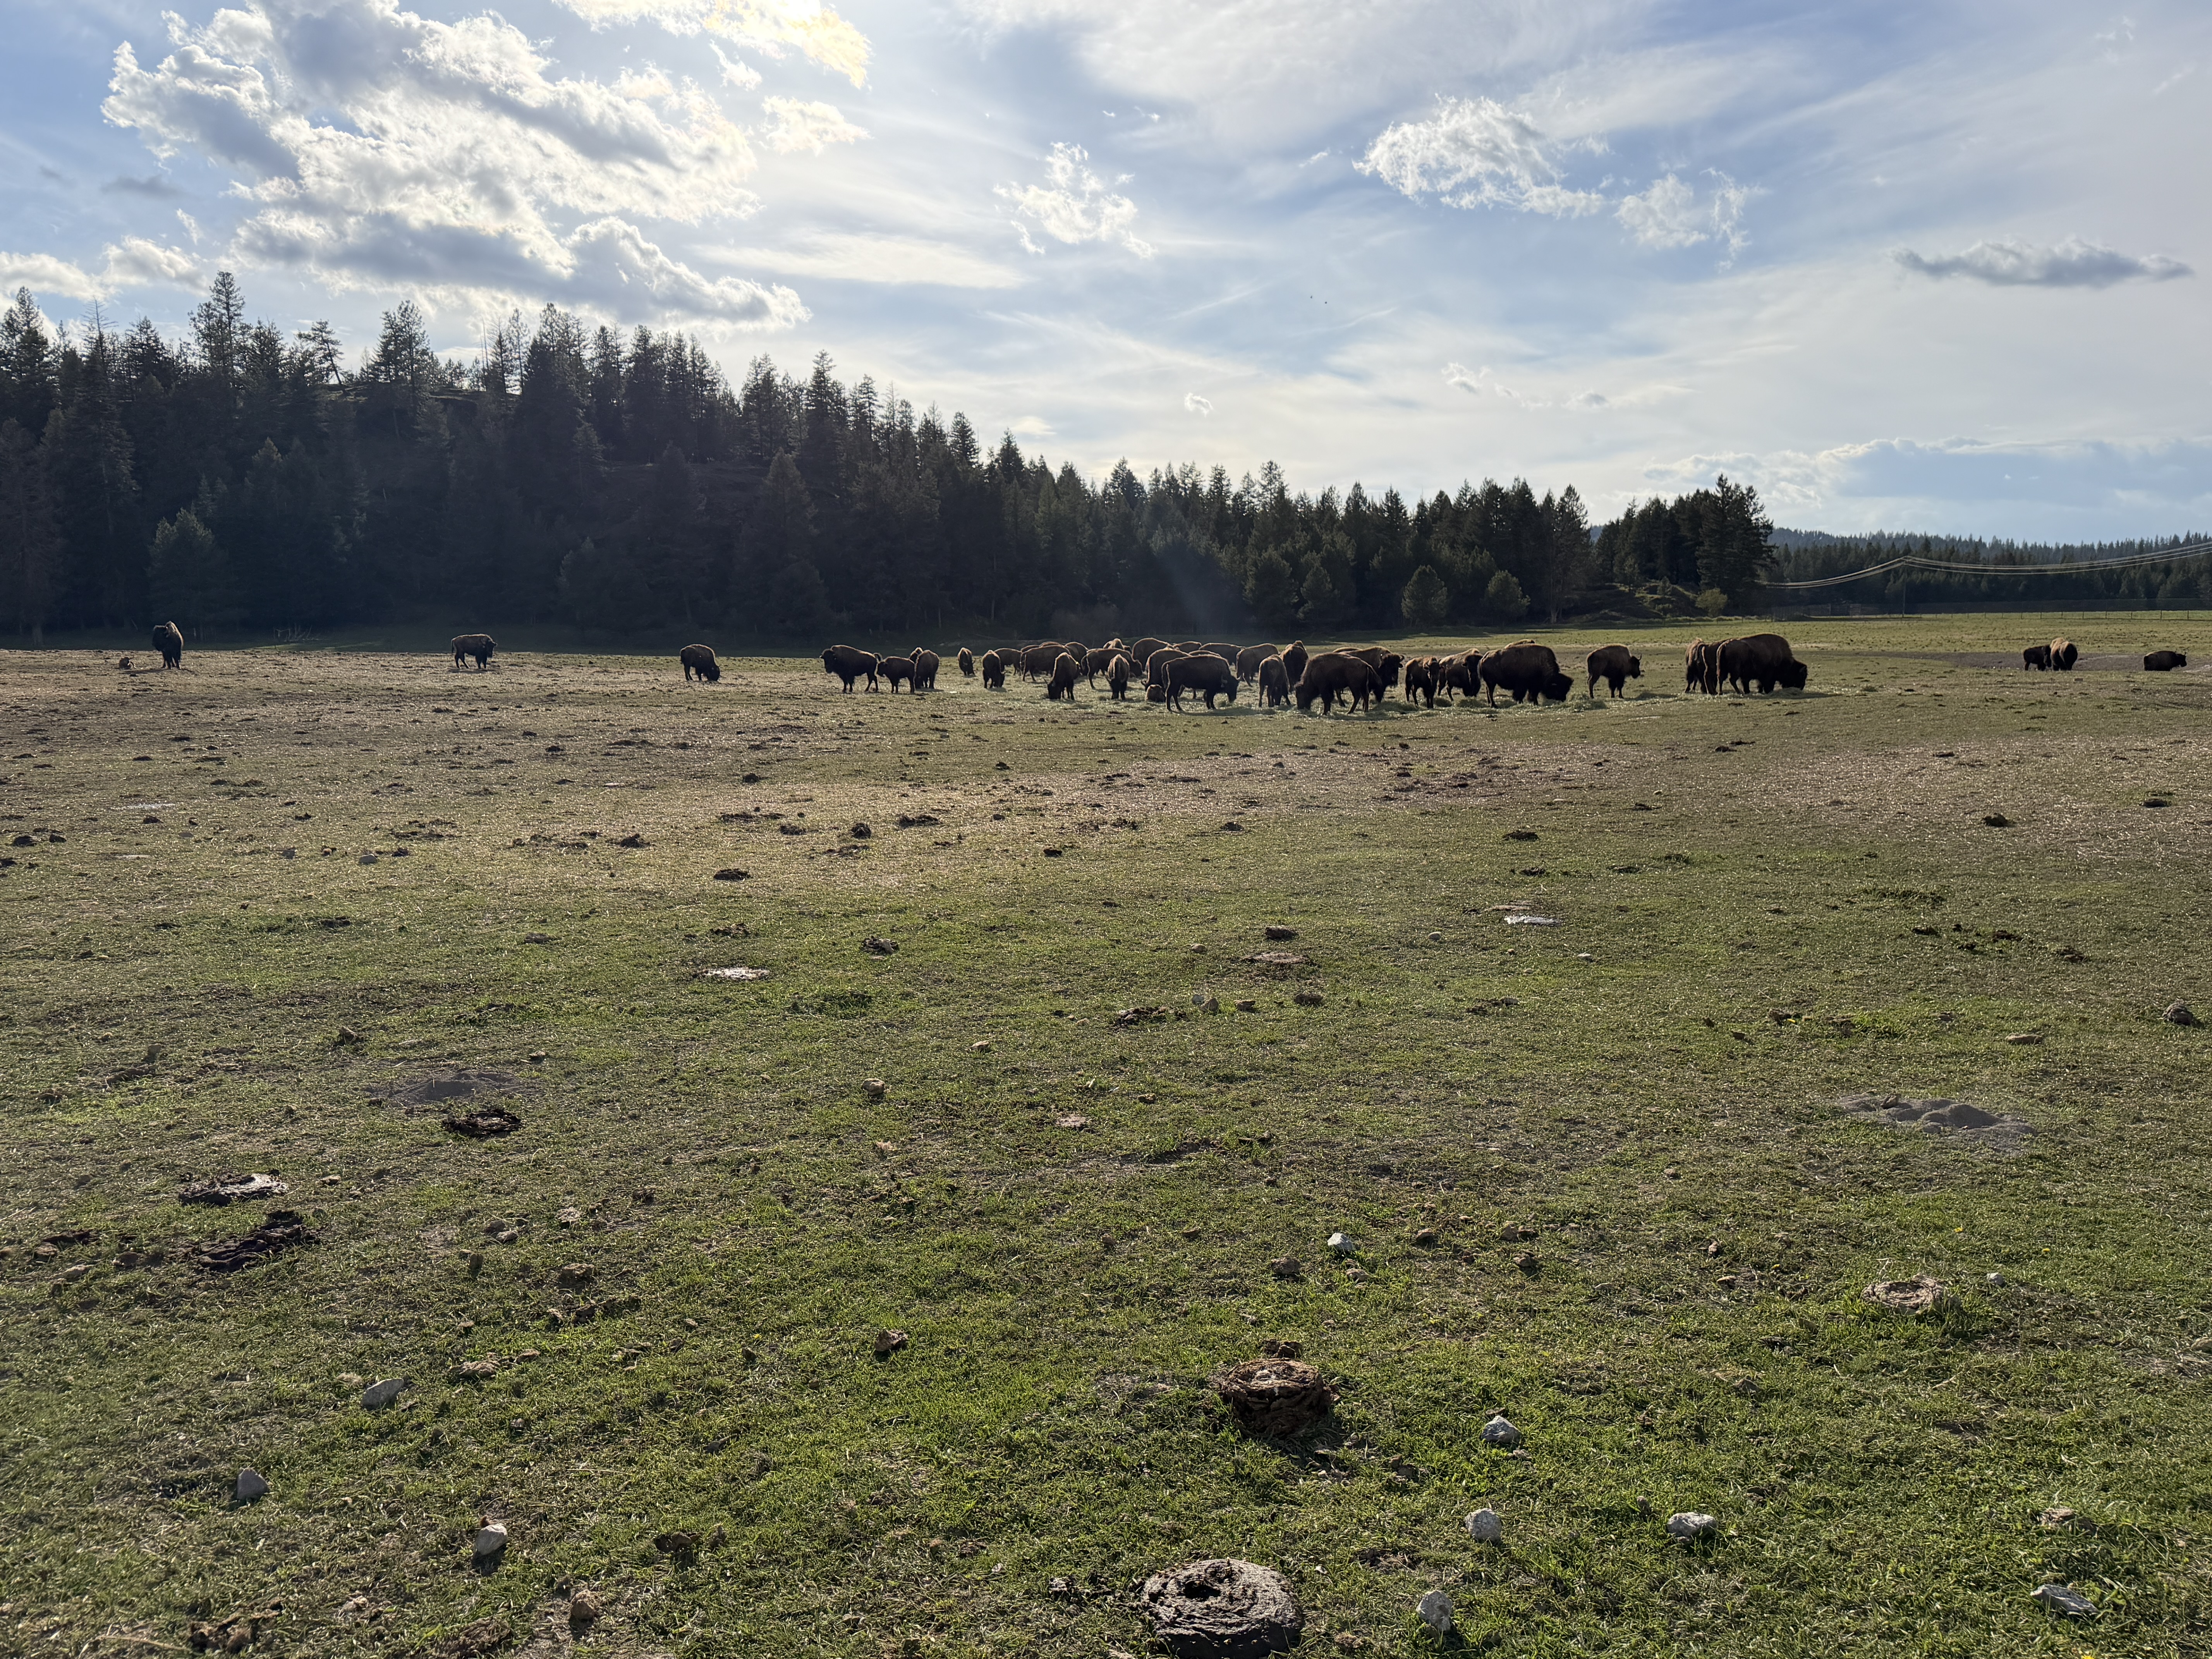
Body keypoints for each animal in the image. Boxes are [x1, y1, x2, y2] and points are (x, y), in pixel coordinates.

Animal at [822, 644, 879, 692]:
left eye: (831, 659)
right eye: (825, 659)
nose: (827, 668)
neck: (837, 658)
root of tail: (874, 656)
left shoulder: (849, 675)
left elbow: (850, 682)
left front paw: (850, 690)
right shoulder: (843, 675)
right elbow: (845, 682)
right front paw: (844, 690)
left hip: (870, 672)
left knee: (874, 679)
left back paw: (873, 690)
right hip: (869, 673)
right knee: (872, 679)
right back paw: (868, 690)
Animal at [1479, 641, 1573, 706]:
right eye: (1559, 688)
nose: (1564, 699)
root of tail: (1484, 658)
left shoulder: (1531, 687)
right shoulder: (1527, 686)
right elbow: (1525, 695)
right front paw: (1529, 703)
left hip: (1490, 683)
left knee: (1488, 692)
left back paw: (1491, 704)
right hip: (1491, 683)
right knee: (1490, 692)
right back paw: (1494, 705)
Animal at [1586, 644, 1641, 699]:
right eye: (1636, 664)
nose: (1639, 673)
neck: (1628, 660)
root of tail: (1591, 655)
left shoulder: (1613, 678)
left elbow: (1613, 687)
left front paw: (1612, 696)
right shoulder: (1621, 677)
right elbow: (1620, 687)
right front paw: (1621, 696)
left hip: (1590, 674)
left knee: (1589, 682)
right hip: (1596, 674)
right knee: (1591, 682)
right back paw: (1592, 696)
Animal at [1716, 633, 1808, 694]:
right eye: (1802, 676)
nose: (1801, 688)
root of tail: (1725, 645)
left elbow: (1754, 683)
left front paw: (1753, 691)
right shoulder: (1769, 675)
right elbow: (1768, 683)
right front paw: (1768, 691)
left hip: (1722, 669)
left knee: (1721, 679)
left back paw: (1721, 693)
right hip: (1735, 672)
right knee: (1732, 680)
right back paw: (1739, 692)